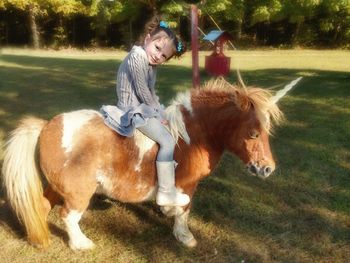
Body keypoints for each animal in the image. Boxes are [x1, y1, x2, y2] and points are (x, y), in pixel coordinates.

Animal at [0, 77, 300, 251]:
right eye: (253, 133)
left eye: (266, 131)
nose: (267, 169)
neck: (193, 134)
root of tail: (45, 126)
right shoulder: (187, 184)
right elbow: (185, 209)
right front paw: (184, 235)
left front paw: (168, 213)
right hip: (78, 192)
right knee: (68, 216)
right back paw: (81, 244)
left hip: (57, 186)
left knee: (42, 206)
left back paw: (38, 237)